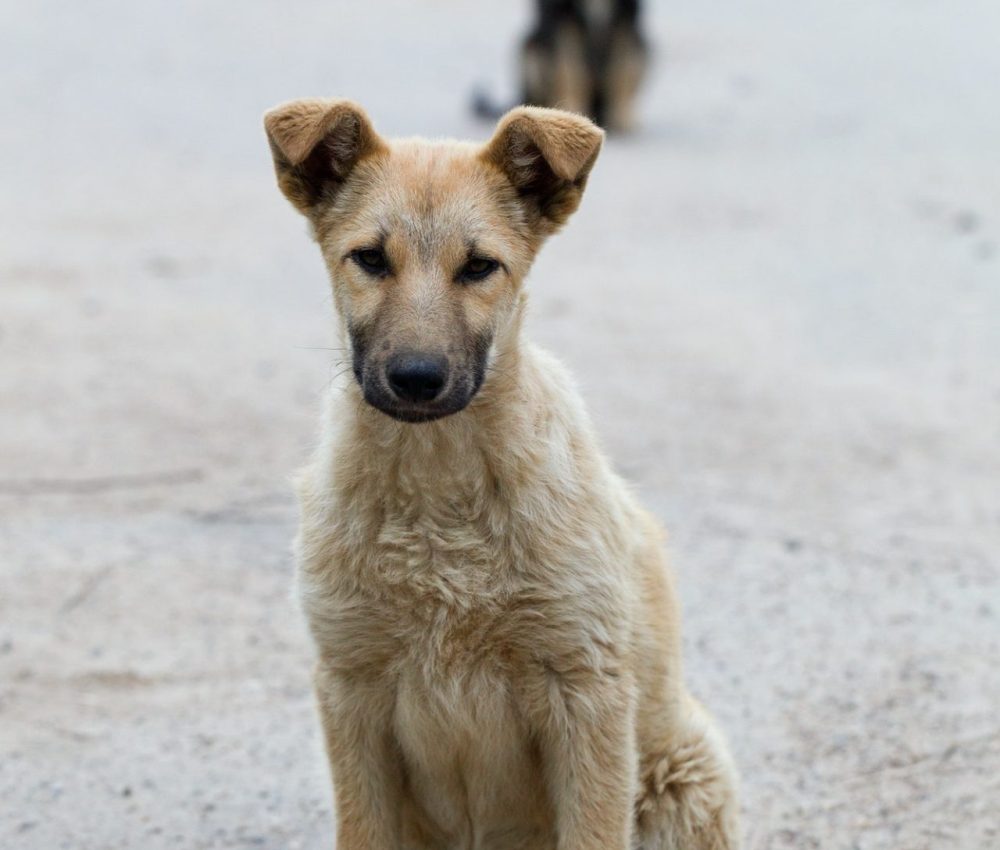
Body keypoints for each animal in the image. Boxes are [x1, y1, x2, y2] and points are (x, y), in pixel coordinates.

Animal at [262, 96, 740, 844]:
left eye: (480, 267)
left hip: (683, 775)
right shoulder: (350, 687)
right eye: (369, 259)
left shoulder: (587, 689)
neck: (438, 492)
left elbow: (593, 832)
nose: (417, 379)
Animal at [474, 0, 648, 132]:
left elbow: (623, 70)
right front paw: (572, 115)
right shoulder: (563, 16)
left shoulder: (627, 15)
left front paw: (623, 120)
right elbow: (570, 71)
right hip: (530, 45)